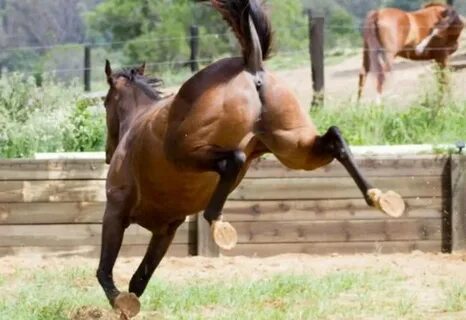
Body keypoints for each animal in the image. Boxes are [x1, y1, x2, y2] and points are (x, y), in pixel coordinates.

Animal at [99, 0, 408, 318]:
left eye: (104, 101)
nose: (109, 154)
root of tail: (251, 65)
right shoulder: (166, 229)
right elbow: (138, 281)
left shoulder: (117, 210)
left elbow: (105, 272)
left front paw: (119, 301)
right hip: (294, 149)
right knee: (335, 138)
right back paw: (379, 197)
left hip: (185, 152)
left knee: (233, 159)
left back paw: (218, 221)